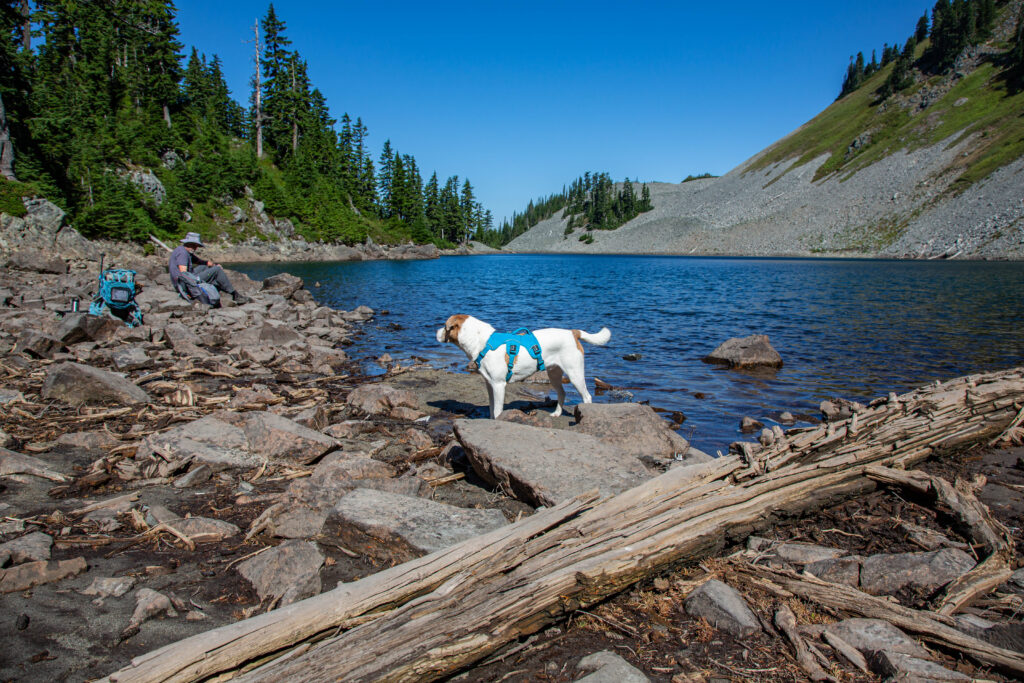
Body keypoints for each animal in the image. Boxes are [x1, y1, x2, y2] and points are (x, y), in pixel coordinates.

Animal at [432, 313, 606, 419]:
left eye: (445, 326)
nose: (436, 331)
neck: (483, 342)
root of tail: (572, 333)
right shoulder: (490, 385)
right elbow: (491, 408)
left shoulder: (499, 385)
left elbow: (497, 410)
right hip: (554, 375)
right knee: (562, 394)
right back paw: (557, 413)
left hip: (574, 374)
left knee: (587, 397)